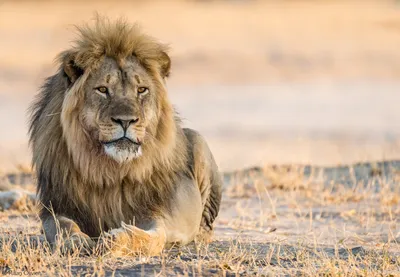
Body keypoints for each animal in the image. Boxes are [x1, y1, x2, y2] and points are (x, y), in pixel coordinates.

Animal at [28, 16, 222, 254]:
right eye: (102, 89)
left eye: (141, 90)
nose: (126, 120)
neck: (112, 170)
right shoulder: (55, 208)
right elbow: (62, 226)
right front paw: (74, 241)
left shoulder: (157, 213)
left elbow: (153, 236)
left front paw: (117, 238)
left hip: (198, 142)